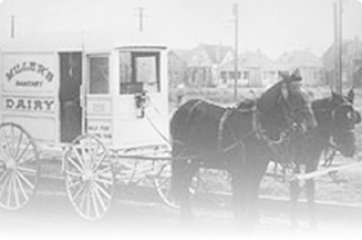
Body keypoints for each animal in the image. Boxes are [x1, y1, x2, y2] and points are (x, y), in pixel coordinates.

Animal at [170, 70, 316, 227]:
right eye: (295, 95)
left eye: (309, 93)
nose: (312, 124)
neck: (255, 127)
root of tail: (183, 107)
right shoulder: (239, 170)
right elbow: (240, 200)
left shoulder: (258, 169)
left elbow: (252, 195)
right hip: (182, 155)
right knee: (182, 181)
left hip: (195, 159)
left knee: (185, 180)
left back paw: (187, 217)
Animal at [288, 88, 362, 229]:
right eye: (338, 116)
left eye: (354, 117)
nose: (350, 149)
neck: (307, 132)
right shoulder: (294, 164)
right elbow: (295, 190)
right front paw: (294, 223)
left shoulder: (312, 164)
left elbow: (310, 190)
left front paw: (313, 224)